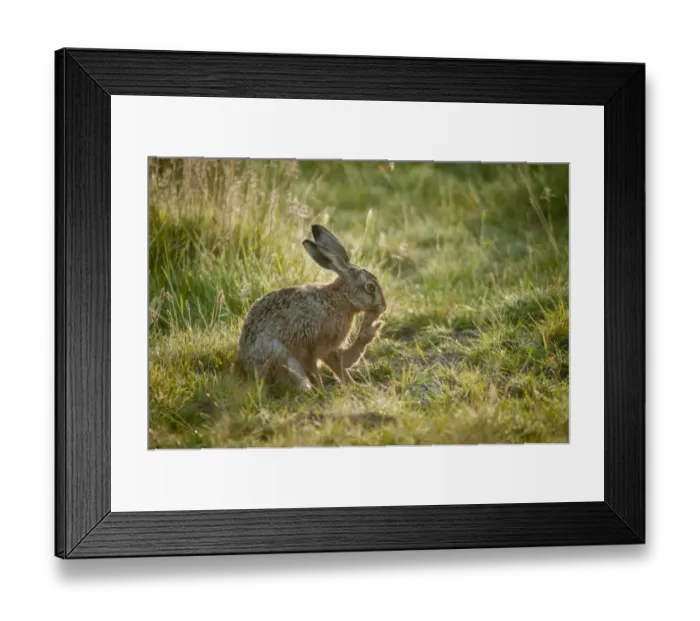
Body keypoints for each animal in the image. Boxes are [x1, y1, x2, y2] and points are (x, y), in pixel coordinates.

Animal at [238, 224, 387, 393]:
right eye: (370, 287)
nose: (383, 307)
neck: (342, 298)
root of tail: (250, 371)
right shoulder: (312, 346)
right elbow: (317, 369)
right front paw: (323, 391)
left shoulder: (328, 349)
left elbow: (339, 367)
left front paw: (355, 385)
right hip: (281, 356)